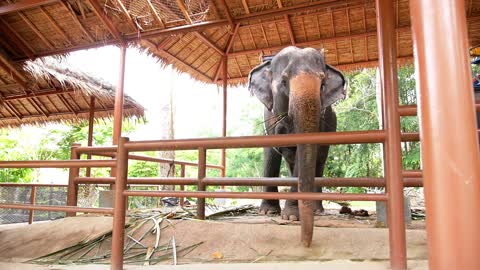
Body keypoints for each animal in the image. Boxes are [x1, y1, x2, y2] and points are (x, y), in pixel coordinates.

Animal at [248, 47, 344, 247]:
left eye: (322, 85)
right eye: (284, 82)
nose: (305, 243)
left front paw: (292, 217)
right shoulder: (268, 115)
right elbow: (271, 152)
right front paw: (268, 212)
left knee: (319, 161)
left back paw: (316, 210)